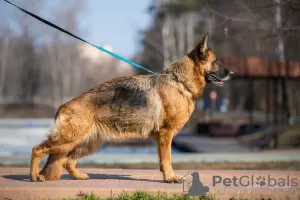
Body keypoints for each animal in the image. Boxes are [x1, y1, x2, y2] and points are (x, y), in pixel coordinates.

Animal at [29, 32, 232, 183]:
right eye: (216, 62)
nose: (232, 73)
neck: (180, 82)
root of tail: (63, 106)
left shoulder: (163, 138)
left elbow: (163, 160)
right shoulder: (165, 136)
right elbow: (167, 159)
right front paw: (170, 177)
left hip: (86, 143)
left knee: (67, 162)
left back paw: (78, 176)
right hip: (68, 140)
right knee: (37, 149)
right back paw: (34, 176)